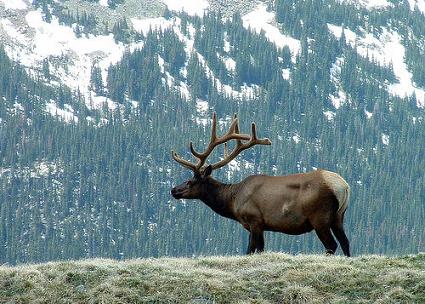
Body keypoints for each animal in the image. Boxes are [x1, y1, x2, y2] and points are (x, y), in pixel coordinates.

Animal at [171, 113, 350, 256]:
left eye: (190, 181)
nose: (173, 190)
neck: (233, 201)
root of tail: (344, 187)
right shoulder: (263, 225)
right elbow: (261, 249)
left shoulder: (254, 220)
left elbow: (250, 250)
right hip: (339, 216)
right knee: (345, 242)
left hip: (319, 217)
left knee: (332, 245)